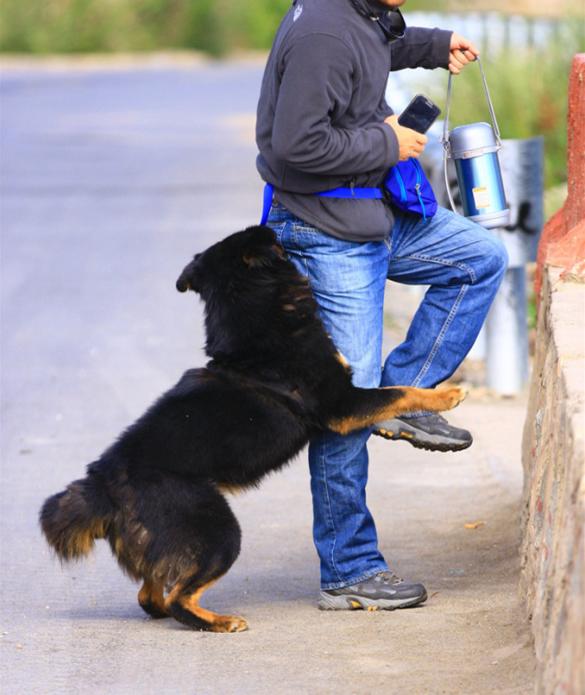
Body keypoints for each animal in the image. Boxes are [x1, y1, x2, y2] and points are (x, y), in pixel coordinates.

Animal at [40, 226, 466, 632]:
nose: (274, 225)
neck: (255, 315)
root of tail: (103, 481)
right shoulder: (341, 405)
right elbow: (399, 391)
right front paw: (447, 395)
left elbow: (394, 391)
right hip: (218, 532)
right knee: (179, 596)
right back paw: (220, 622)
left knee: (151, 592)